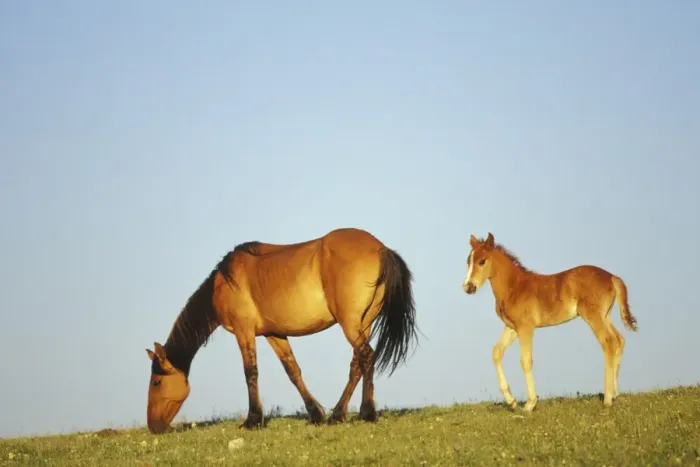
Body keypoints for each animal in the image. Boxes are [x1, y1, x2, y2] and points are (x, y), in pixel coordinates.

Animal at [145, 227, 419, 434]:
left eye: (157, 382)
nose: (153, 426)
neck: (224, 283)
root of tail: (381, 248)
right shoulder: (273, 334)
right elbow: (292, 371)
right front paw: (315, 414)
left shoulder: (244, 332)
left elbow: (251, 372)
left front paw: (253, 420)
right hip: (364, 322)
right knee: (358, 363)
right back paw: (340, 414)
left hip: (350, 323)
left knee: (366, 355)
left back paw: (363, 413)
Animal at [462, 232, 638, 412]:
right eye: (468, 261)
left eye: (482, 261)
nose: (468, 287)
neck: (514, 287)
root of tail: (612, 277)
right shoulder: (511, 328)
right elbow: (497, 352)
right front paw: (512, 401)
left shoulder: (526, 327)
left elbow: (526, 361)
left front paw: (530, 404)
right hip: (605, 315)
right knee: (619, 340)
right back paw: (615, 393)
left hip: (593, 317)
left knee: (608, 342)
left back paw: (608, 398)